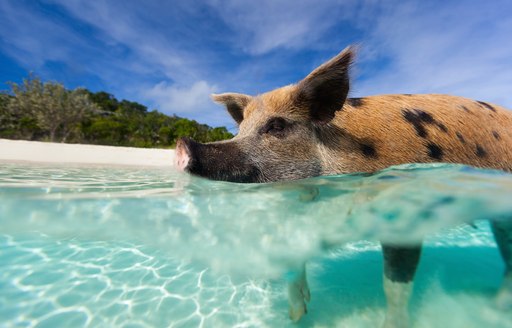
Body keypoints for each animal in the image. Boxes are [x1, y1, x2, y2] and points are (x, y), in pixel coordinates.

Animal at [173, 46, 512, 328]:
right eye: (240, 129)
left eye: (277, 125)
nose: (183, 144)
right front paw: (296, 316)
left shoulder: (404, 217)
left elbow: (395, 286)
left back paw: (492, 310)